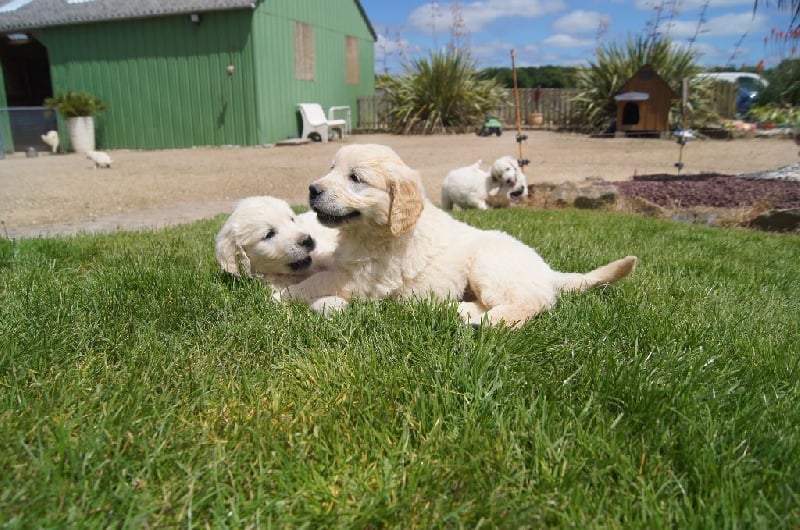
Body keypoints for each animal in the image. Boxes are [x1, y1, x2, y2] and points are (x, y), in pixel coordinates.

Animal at [276, 144, 636, 326]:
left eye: (355, 178)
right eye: (332, 168)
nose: (312, 190)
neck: (368, 232)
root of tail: (547, 271)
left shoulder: (360, 278)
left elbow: (316, 282)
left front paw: (280, 296)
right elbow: (318, 270)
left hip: (491, 266)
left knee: (528, 304)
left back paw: (490, 320)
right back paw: (459, 311)